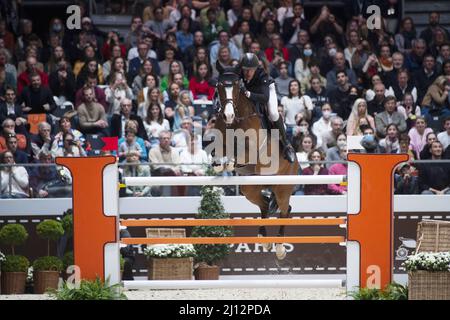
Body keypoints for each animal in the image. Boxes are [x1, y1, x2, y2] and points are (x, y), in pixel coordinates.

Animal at [211, 64, 298, 260]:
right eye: (219, 86)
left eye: (237, 86)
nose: (228, 115)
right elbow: (217, 151)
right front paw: (219, 164)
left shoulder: (251, 151)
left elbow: (239, 154)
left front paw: (229, 163)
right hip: (250, 187)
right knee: (265, 204)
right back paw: (263, 239)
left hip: (283, 187)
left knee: (285, 209)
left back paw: (280, 248)